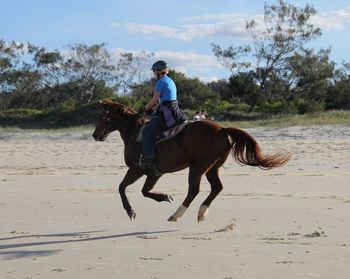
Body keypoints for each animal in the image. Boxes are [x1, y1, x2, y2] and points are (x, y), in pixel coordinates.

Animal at [92, 100, 290, 223]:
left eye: (102, 116)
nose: (95, 135)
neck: (135, 133)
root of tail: (222, 129)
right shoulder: (153, 173)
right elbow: (141, 190)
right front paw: (163, 197)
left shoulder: (138, 169)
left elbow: (124, 188)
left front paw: (132, 210)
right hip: (212, 167)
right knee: (217, 187)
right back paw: (201, 213)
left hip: (198, 166)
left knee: (194, 190)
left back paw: (176, 215)